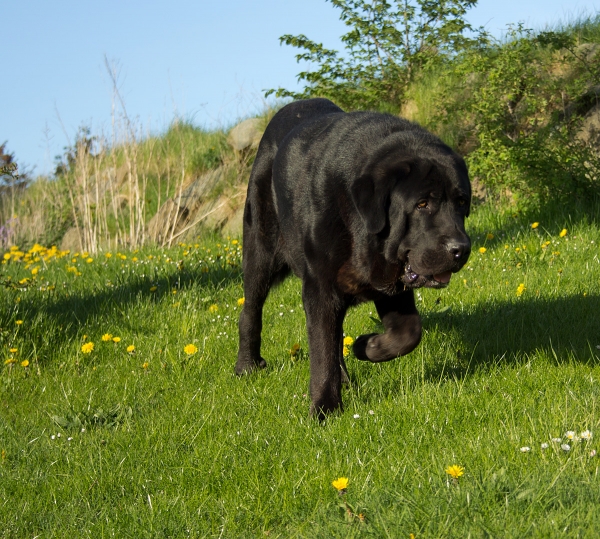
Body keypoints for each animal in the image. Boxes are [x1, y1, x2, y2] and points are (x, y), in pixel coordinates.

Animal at [237, 99, 472, 420]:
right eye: (422, 204)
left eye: (461, 202)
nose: (460, 248)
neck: (363, 230)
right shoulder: (320, 288)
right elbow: (322, 349)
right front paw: (324, 409)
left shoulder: (392, 283)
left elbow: (408, 333)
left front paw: (366, 345)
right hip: (261, 250)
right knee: (251, 309)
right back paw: (247, 366)